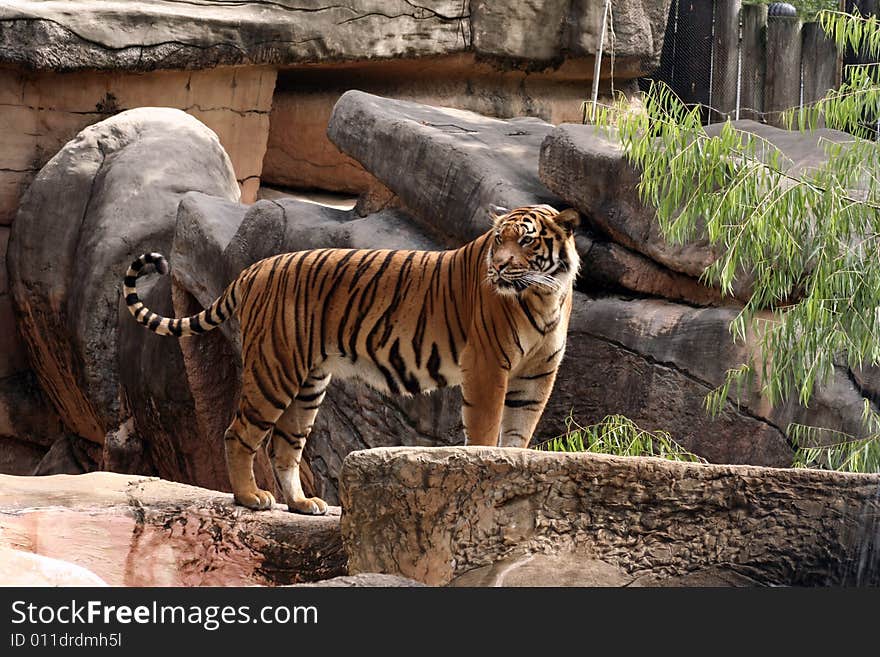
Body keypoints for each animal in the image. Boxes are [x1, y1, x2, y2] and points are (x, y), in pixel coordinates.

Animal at [122, 204, 576, 512]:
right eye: (499, 240)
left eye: (527, 240)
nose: (498, 268)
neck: (543, 293)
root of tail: (256, 268)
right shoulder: (486, 364)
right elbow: (485, 429)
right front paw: (485, 467)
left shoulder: (537, 374)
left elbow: (520, 429)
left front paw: (515, 465)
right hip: (274, 369)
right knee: (240, 433)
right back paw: (251, 497)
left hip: (308, 382)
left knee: (284, 446)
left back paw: (302, 504)